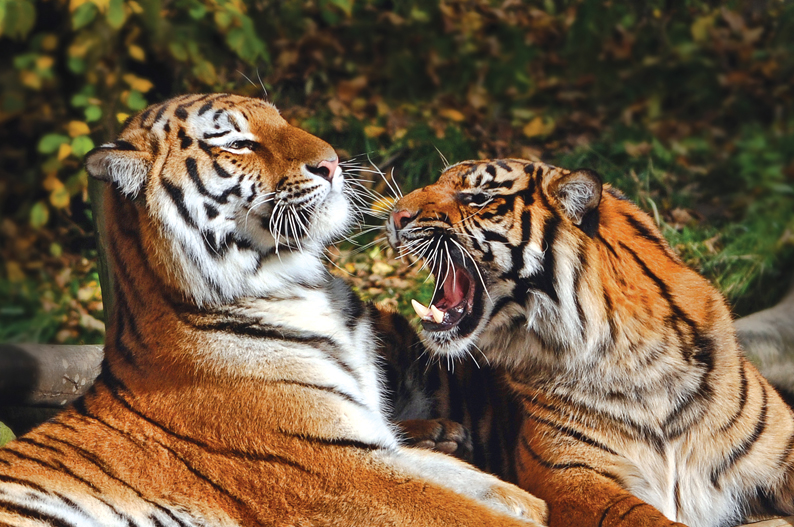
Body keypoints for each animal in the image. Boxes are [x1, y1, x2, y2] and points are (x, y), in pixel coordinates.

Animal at [0, 97, 548, 524]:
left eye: (281, 120)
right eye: (237, 143)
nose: (331, 163)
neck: (306, 286)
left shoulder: (371, 445)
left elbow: (497, 492)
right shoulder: (337, 471)